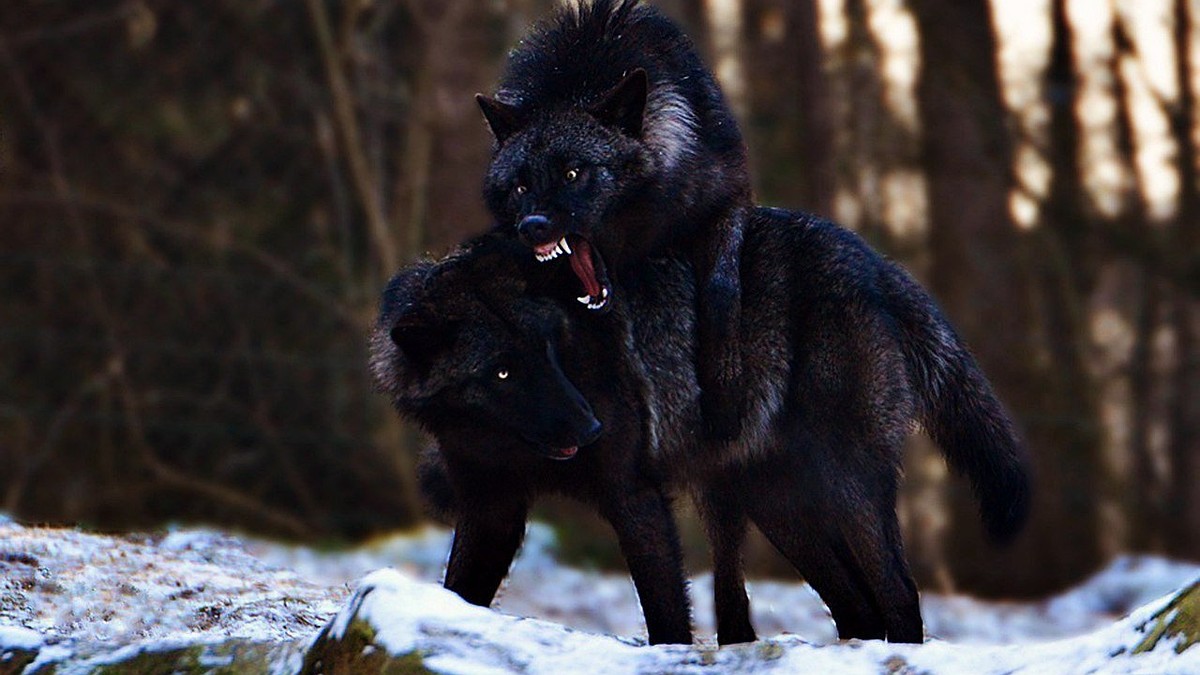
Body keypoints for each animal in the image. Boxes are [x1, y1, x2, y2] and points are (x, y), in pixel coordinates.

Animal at [367, 207, 1032, 643]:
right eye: (504, 371)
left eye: (550, 349)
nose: (591, 429)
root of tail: (874, 262)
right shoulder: (491, 509)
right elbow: (459, 591)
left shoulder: (634, 496)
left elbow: (667, 618)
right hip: (783, 513)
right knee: (858, 609)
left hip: (846, 493)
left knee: (900, 596)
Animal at [475, 0, 748, 441]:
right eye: (520, 186)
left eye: (573, 173)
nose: (532, 225)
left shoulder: (730, 196)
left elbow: (722, 287)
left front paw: (725, 395)